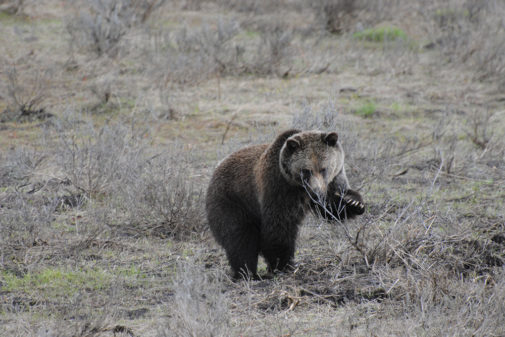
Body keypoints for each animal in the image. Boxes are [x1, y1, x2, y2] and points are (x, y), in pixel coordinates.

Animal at [205, 129, 362, 278]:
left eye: (324, 168)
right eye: (306, 170)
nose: (316, 192)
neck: (298, 187)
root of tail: (216, 169)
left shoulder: (331, 182)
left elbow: (332, 207)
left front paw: (353, 202)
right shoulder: (279, 188)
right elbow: (279, 227)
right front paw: (283, 264)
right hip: (233, 201)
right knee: (240, 238)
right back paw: (247, 273)